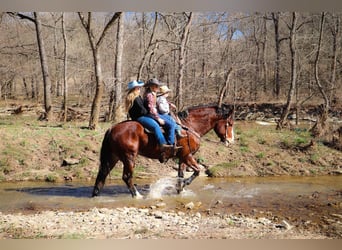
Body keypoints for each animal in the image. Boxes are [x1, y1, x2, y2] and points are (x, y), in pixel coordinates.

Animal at [91, 102, 235, 198]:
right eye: (230, 123)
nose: (230, 141)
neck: (188, 127)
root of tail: (112, 128)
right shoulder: (188, 156)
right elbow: (197, 171)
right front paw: (184, 184)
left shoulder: (182, 157)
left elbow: (181, 174)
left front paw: (180, 189)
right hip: (129, 158)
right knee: (127, 177)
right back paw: (137, 196)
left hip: (113, 157)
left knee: (102, 175)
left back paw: (95, 195)